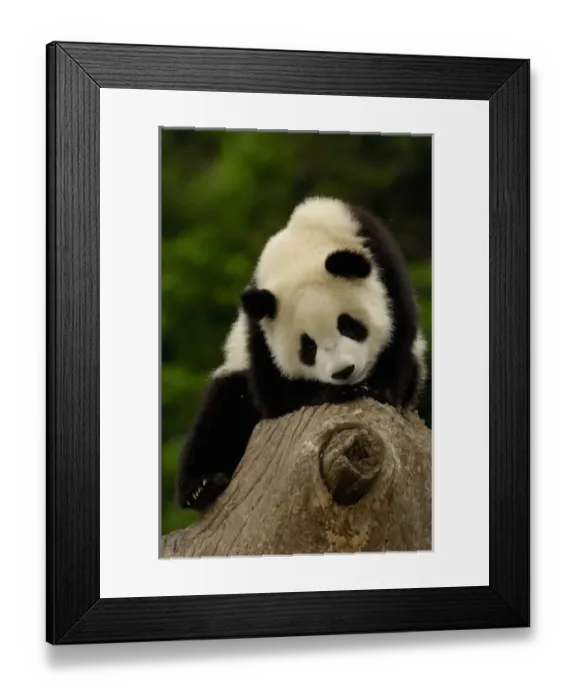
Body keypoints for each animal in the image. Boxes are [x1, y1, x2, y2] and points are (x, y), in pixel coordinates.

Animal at [176, 196, 428, 511]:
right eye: (308, 347)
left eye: (348, 325)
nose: (343, 372)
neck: (302, 246)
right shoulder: (259, 333)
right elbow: (277, 397)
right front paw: (338, 392)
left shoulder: (388, 273)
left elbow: (399, 350)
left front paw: (378, 388)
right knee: (221, 413)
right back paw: (201, 487)